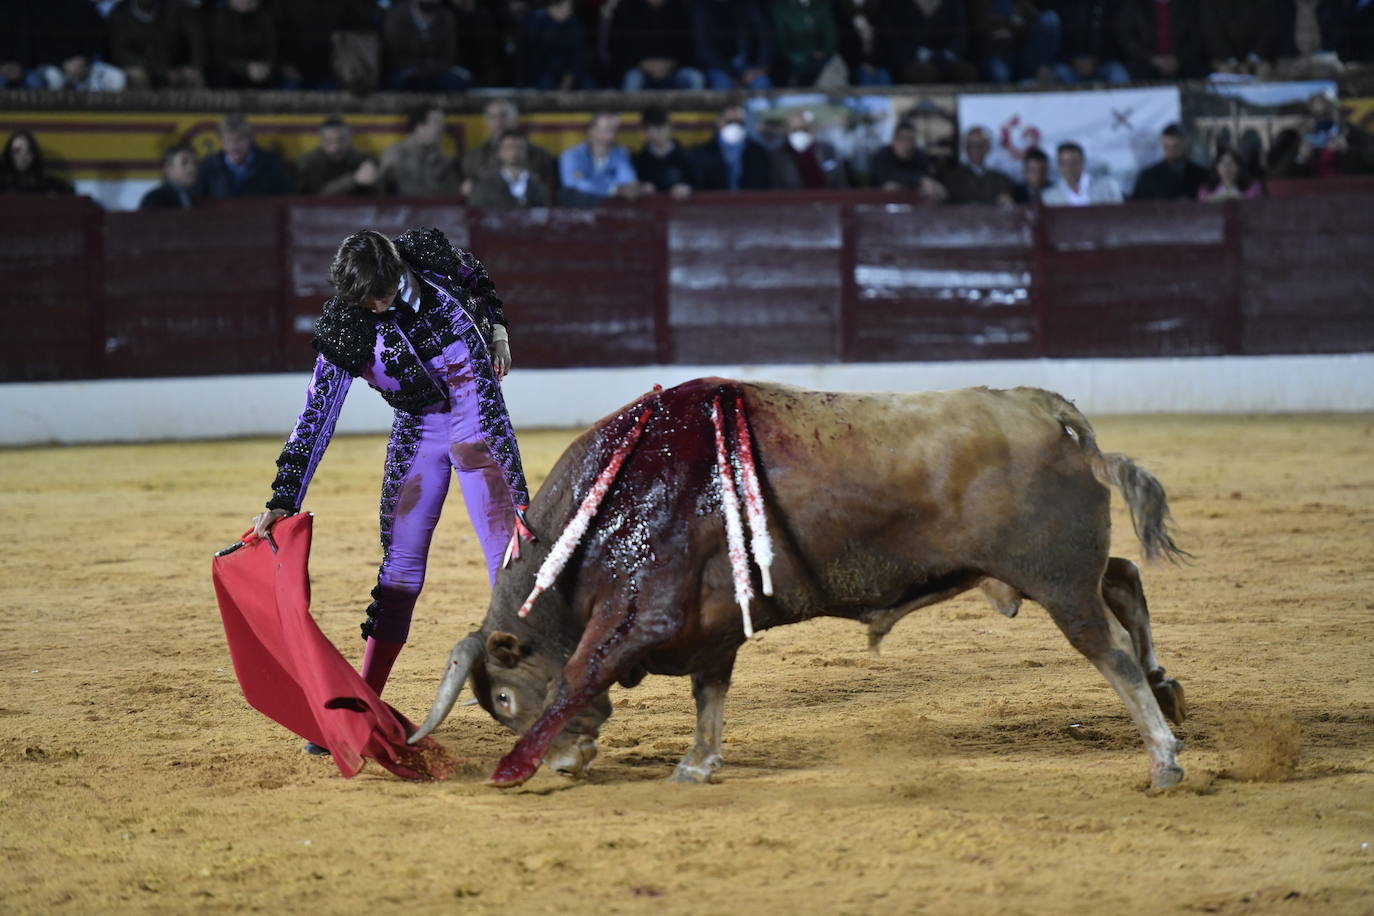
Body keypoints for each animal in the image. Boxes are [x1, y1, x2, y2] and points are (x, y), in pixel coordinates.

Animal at [409, 379, 1192, 791]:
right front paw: (698, 763)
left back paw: (1162, 756)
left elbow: (579, 674)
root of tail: (1048, 408)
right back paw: (1169, 692)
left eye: (503, 699)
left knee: (1108, 648)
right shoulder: (710, 627)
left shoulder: (642, 616)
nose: (567, 763)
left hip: (1053, 579)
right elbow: (710, 691)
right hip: (1057, 572)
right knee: (1124, 582)